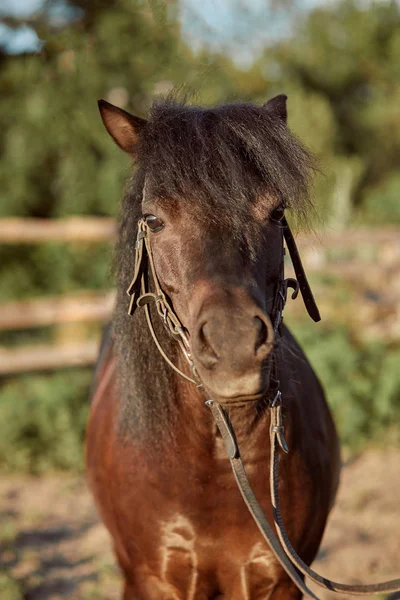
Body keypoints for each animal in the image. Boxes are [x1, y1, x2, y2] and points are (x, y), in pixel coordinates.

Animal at [87, 95, 340, 600]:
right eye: (153, 220)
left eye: (276, 213)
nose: (234, 347)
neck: (218, 468)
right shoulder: (152, 581)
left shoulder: (277, 582)